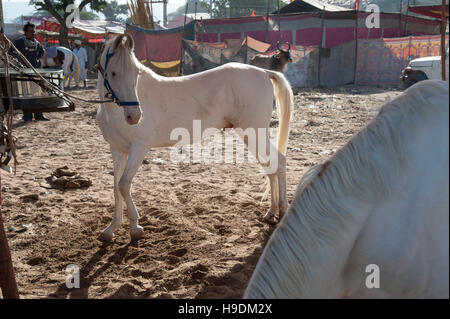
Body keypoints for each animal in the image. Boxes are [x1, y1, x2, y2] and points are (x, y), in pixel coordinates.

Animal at [95, 33, 292, 241]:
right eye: (113, 73)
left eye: (136, 73)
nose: (134, 116)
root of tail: (264, 72)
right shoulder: (118, 150)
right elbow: (116, 186)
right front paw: (111, 228)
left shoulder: (139, 148)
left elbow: (124, 185)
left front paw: (135, 228)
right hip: (252, 135)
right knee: (271, 166)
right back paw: (271, 213)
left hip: (254, 133)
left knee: (279, 162)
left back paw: (282, 210)